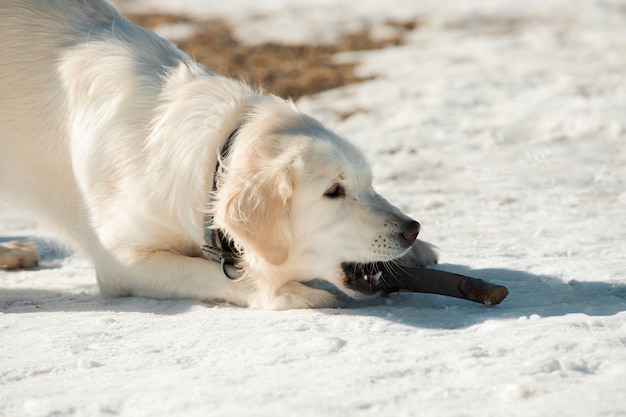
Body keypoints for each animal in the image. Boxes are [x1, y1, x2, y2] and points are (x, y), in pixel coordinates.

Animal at [0, 0, 436, 308]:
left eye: (369, 183)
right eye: (333, 191)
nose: (411, 229)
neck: (212, 158)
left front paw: (418, 253)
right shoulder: (121, 261)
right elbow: (205, 272)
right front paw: (276, 290)